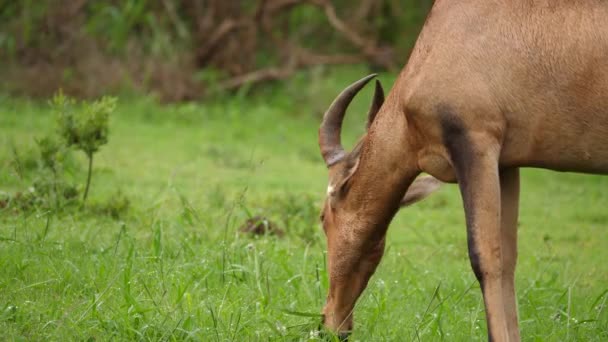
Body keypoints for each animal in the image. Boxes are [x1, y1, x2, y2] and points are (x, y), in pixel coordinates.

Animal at [316, 1, 608, 340]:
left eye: (322, 217)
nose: (330, 324)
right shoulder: (506, 164)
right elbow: (507, 261)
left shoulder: (474, 143)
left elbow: (484, 258)